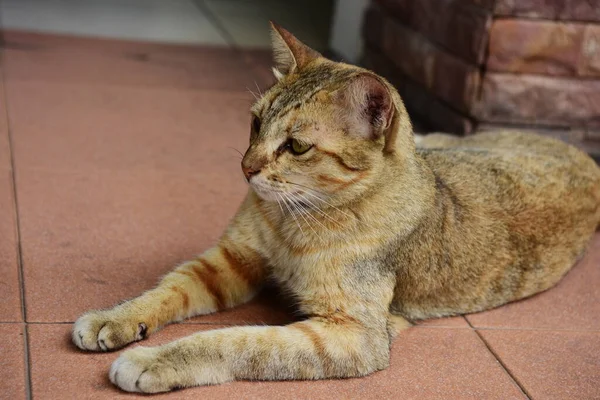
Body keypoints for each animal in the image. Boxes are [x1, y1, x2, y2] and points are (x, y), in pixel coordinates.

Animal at [71, 22, 600, 394]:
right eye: (255, 122)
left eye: (297, 146)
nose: (246, 167)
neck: (293, 219)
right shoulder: (228, 260)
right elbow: (166, 289)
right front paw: (114, 317)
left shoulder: (349, 335)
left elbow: (238, 340)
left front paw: (155, 361)